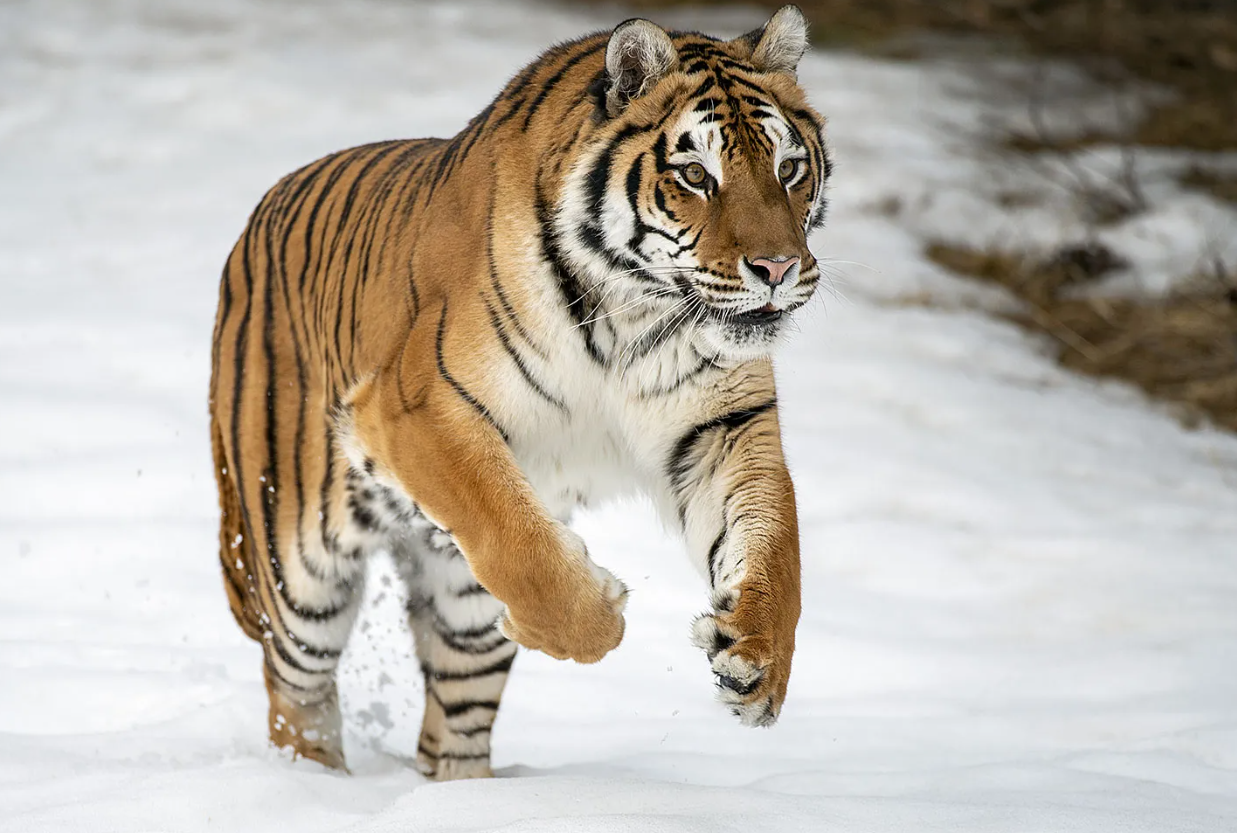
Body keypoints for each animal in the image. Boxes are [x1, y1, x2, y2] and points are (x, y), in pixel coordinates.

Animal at [210, 4, 831, 782]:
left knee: (454, 720)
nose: (778, 269)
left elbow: (775, 546)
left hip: (459, 608)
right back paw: (311, 784)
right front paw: (601, 616)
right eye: (695, 174)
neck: (635, 311)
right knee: (296, 691)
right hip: (295, 569)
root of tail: (257, 215)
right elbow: (517, 541)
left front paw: (756, 662)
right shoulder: (419, 406)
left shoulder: (722, 426)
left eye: (789, 168)